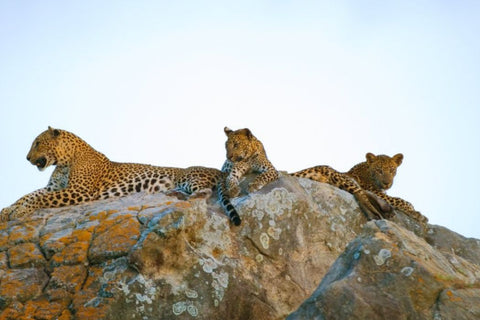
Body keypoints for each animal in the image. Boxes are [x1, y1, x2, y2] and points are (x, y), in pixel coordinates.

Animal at [0, 127, 240, 225]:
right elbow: (29, 195)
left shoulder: (78, 191)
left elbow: (39, 198)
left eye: (37, 143)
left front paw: (19, 211)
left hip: (190, 178)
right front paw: (8, 210)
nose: (27, 158)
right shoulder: (55, 187)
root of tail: (219, 171)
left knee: (205, 192)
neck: (64, 161)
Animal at [290, 152, 426, 222]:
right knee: (361, 194)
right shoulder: (377, 192)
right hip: (340, 176)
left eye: (392, 170)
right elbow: (399, 200)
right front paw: (415, 211)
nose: (386, 183)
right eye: (379, 170)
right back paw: (380, 212)